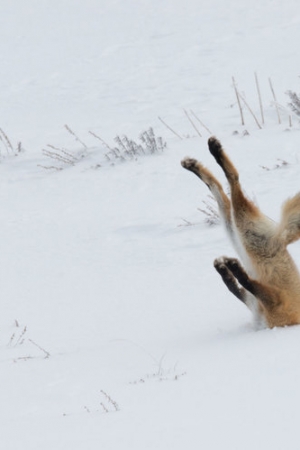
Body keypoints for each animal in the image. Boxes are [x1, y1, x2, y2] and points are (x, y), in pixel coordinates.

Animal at [182, 137, 300, 326]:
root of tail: (280, 238)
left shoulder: (273, 303)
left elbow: (242, 284)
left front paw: (231, 269)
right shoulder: (260, 303)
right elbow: (236, 287)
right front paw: (226, 270)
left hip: (243, 230)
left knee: (232, 181)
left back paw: (212, 152)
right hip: (238, 232)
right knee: (219, 188)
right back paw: (197, 163)